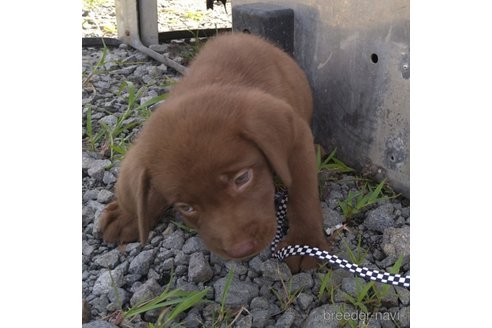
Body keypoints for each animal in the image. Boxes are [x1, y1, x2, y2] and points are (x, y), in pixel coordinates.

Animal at [99, 33, 328, 272]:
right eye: (186, 207)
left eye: (243, 178)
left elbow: (303, 192)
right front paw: (128, 215)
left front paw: (304, 242)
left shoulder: (298, 138)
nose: (241, 249)